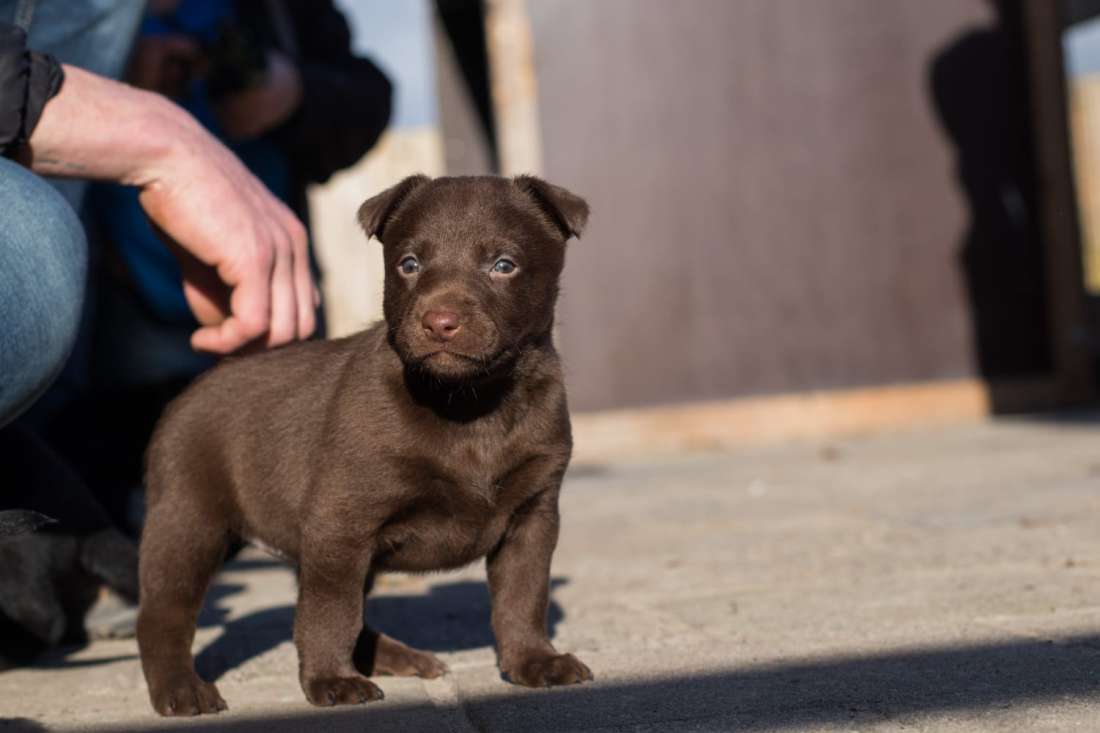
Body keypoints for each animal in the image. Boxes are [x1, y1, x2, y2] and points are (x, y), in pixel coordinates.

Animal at [135, 176, 594, 713]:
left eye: (504, 265)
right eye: (409, 264)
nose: (440, 322)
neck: (470, 404)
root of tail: (189, 391)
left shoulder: (533, 515)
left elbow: (523, 597)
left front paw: (534, 661)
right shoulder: (342, 522)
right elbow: (331, 613)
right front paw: (331, 680)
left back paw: (400, 657)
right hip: (187, 520)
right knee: (164, 615)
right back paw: (180, 689)